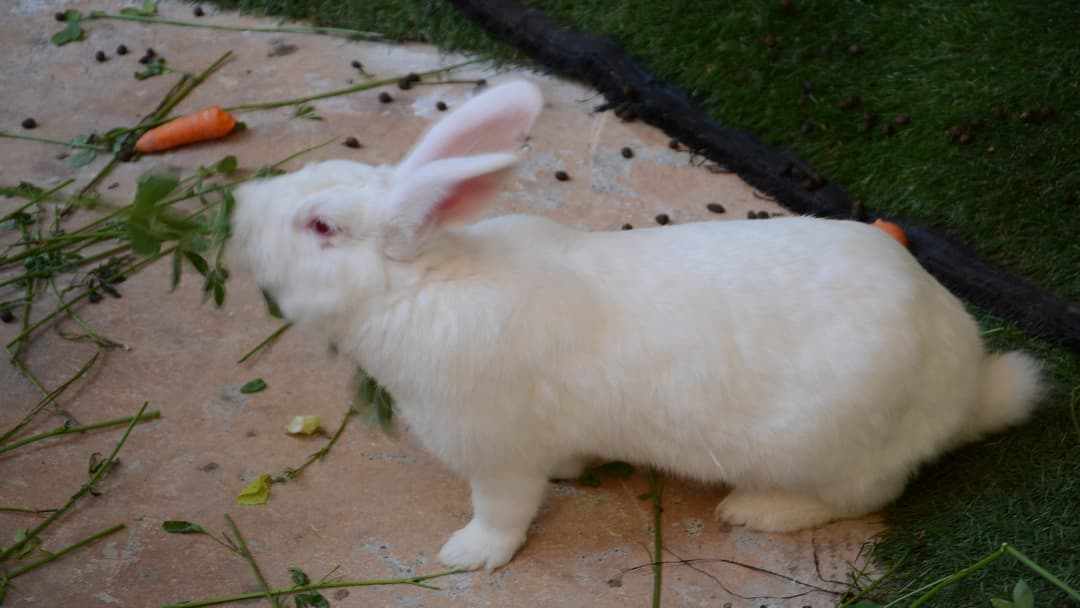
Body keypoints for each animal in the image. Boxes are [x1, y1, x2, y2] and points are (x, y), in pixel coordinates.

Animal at [227, 80, 1044, 571]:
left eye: (320, 227)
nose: (239, 209)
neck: (423, 282)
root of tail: (967, 384)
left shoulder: (495, 452)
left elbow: (503, 512)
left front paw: (466, 556)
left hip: (833, 452)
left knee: (866, 497)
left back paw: (755, 509)